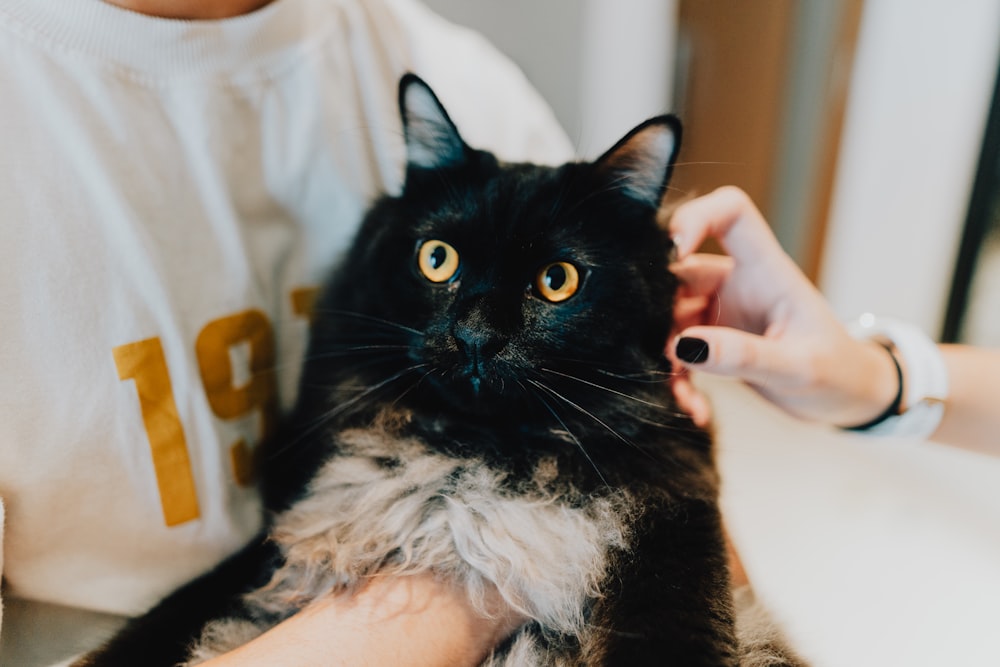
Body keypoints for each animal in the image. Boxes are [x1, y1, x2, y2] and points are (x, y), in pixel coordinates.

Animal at [74, 73, 800, 667]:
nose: (475, 337)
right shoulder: (286, 524)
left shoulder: (678, 506)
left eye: (557, 280)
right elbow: (166, 616)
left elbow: (676, 630)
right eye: (437, 258)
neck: (474, 450)